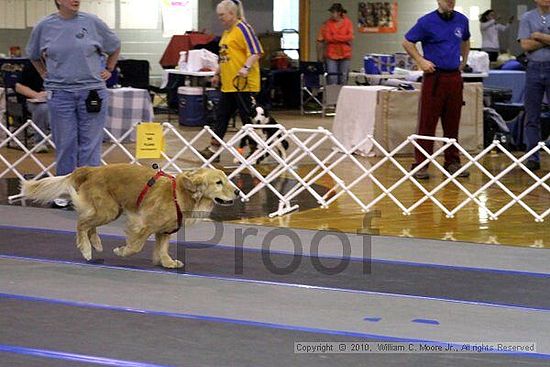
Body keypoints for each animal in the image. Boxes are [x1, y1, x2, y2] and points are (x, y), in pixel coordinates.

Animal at [21, 165, 238, 268]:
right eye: (218, 182)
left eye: (226, 179)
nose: (237, 191)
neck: (181, 194)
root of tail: (91, 169)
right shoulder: (144, 224)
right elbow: (136, 245)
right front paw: (122, 251)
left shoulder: (164, 230)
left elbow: (163, 248)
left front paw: (167, 262)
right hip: (108, 210)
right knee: (82, 224)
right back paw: (86, 249)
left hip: (109, 209)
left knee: (89, 224)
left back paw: (96, 243)